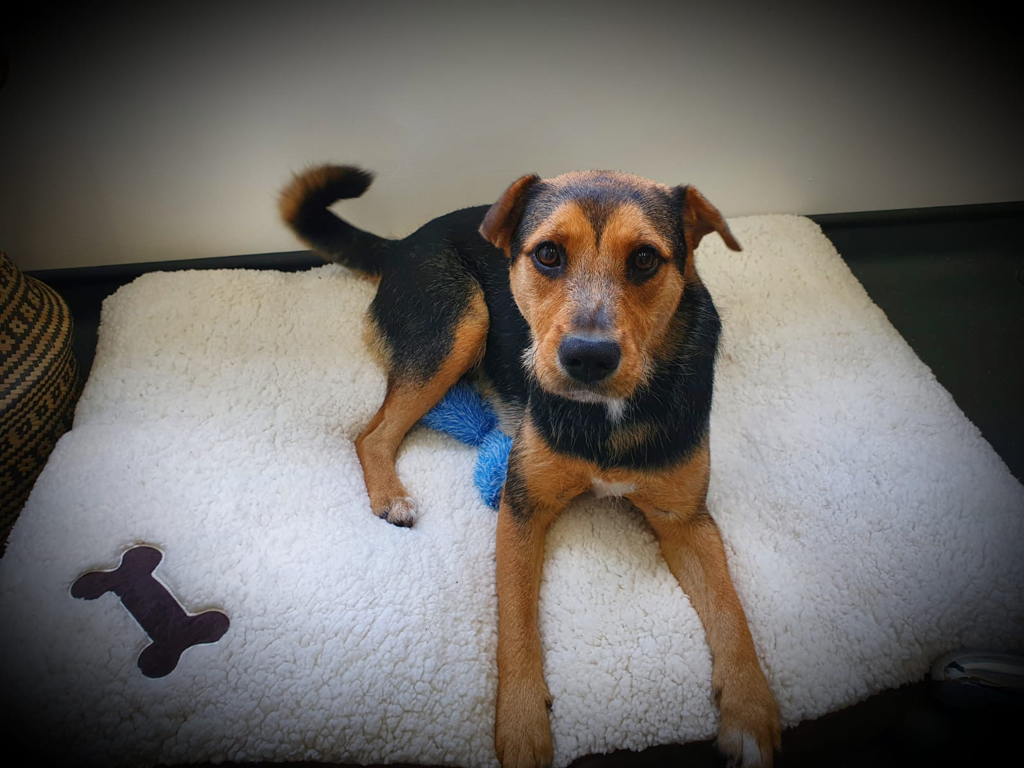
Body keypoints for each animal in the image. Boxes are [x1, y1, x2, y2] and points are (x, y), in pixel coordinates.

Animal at [276, 165, 778, 765]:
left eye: (644, 260)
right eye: (548, 255)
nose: (588, 357)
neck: (608, 412)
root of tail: (401, 244)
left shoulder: (686, 520)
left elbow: (731, 609)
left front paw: (750, 713)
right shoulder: (521, 506)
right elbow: (515, 623)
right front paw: (521, 725)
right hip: (460, 324)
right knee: (371, 434)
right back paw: (390, 495)